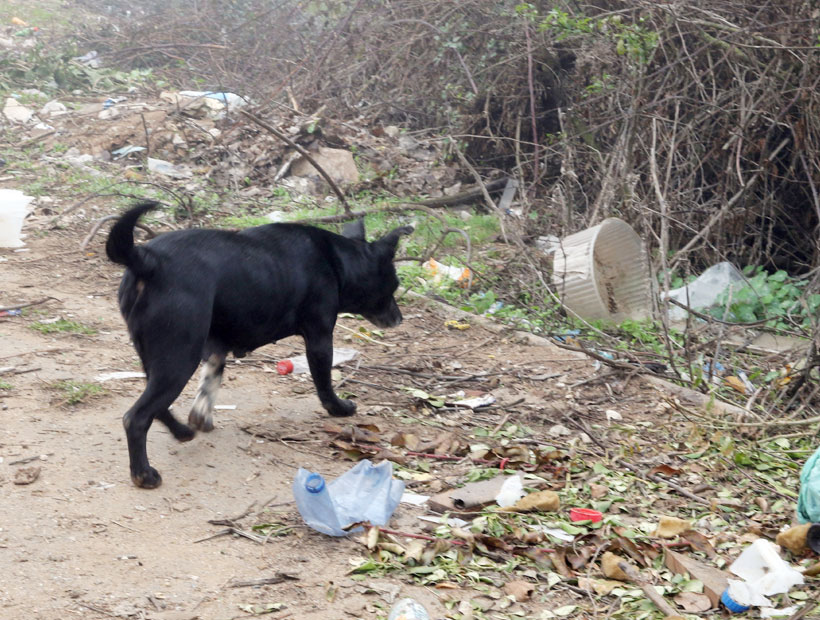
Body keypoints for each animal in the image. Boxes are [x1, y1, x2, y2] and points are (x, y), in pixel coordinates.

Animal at [105, 201, 410, 486]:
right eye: (394, 285)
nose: (399, 317)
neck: (338, 260)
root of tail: (147, 260)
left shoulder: (216, 347)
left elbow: (210, 383)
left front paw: (201, 416)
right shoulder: (320, 338)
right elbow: (324, 382)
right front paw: (339, 408)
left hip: (156, 356)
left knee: (157, 406)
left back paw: (182, 432)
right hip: (179, 358)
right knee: (136, 417)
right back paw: (143, 474)